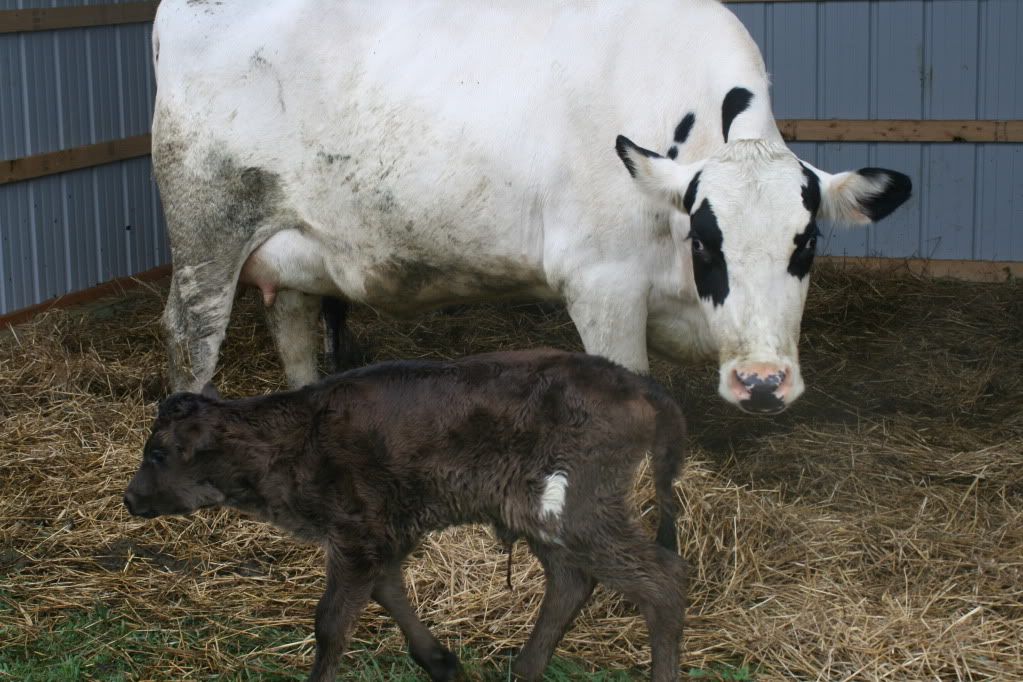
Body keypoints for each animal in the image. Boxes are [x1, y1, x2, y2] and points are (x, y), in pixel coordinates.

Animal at [123, 349, 689, 681]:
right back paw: (526, 670)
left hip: (580, 506)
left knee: (662, 579)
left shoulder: (356, 532)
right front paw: (441, 662)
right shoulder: (381, 533)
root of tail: (640, 385)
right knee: (572, 581)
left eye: (157, 453)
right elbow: (389, 592)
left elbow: (330, 621)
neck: (297, 438)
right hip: (542, 514)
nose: (129, 499)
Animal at [152, 0, 911, 414]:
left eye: (805, 243)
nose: (762, 383)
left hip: (294, 240)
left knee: (294, 325)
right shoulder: (601, 283)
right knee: (191, 337)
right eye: (705, 241)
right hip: (205, 232)